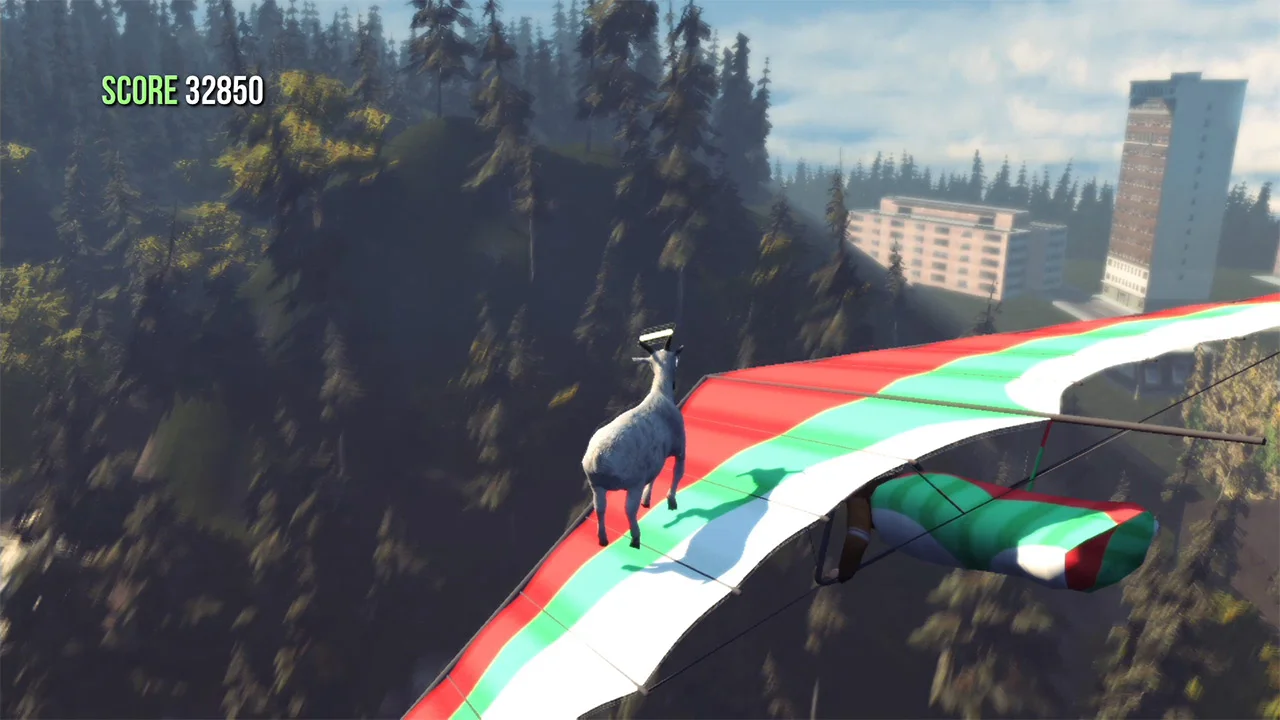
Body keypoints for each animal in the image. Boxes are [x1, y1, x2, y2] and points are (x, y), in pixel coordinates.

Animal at [581, 336, 686, 549]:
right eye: (675, 359)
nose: (673, 383)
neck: (660, 394)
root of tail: (597, 461)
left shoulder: (654, 460)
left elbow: (654, 476)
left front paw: (648, 499)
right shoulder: (680, 448)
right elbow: (677, 474)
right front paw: (671, 501)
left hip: (596, 486)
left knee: (600, 508)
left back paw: (602, 538)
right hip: (631, 482)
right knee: (628, 509)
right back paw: (635, 538)